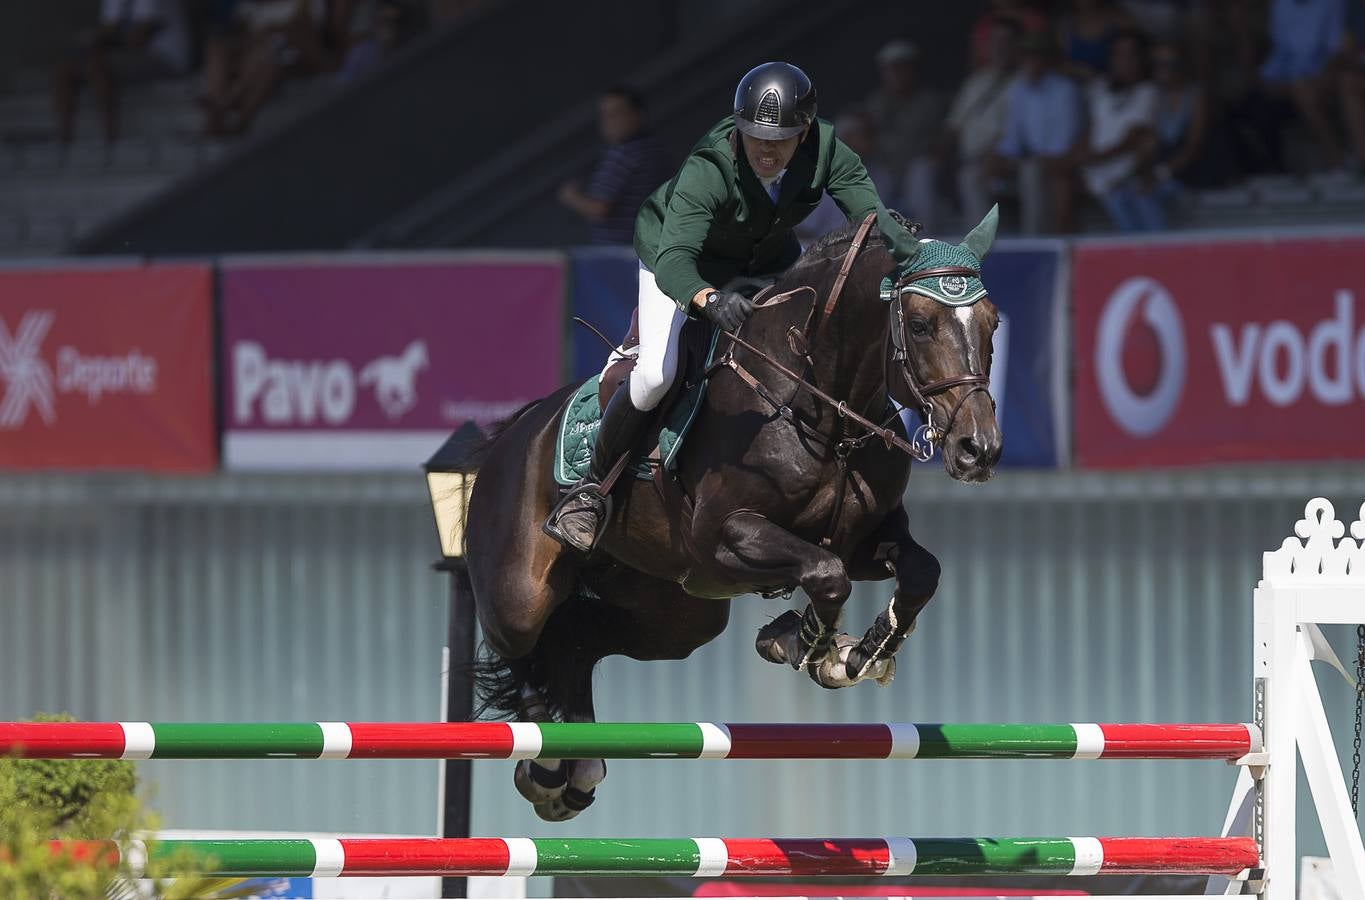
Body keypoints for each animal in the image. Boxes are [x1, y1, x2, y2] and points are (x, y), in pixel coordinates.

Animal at [461, 208, 1004, 824]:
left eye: (992, 323)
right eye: (918, 324)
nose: (978, 450)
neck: (815, 405)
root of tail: (515, 431)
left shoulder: (863, 541)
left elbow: (917, 572)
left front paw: (858, 652)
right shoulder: (722, 540)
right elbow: (827, 576)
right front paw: (808, 645)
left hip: (677, 614)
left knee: (578, 635)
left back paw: (580, 767)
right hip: (523, 591)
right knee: (526, 644)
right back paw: (550, 766)